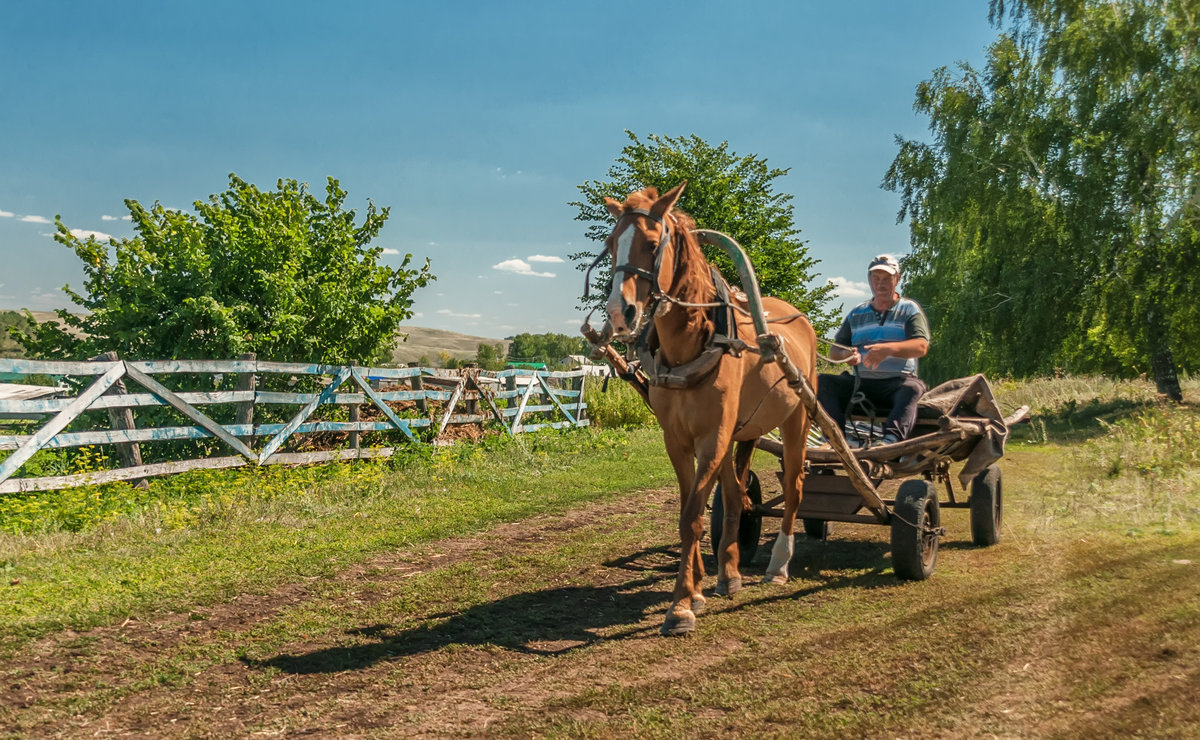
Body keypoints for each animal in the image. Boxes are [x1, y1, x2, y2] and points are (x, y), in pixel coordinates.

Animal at [600, 182, 816, 633]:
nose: (618, 313)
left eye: (651, 244)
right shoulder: (679, 440)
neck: (693, 344)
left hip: (797, 419)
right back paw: (729, 574)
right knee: (736, 496)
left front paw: (681, 604)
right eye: (611, 244)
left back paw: (778, 564)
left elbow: (693, 515)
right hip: (737, 431)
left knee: (793, 487)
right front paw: (696, 589)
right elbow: (692, 511)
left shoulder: (711, 436)